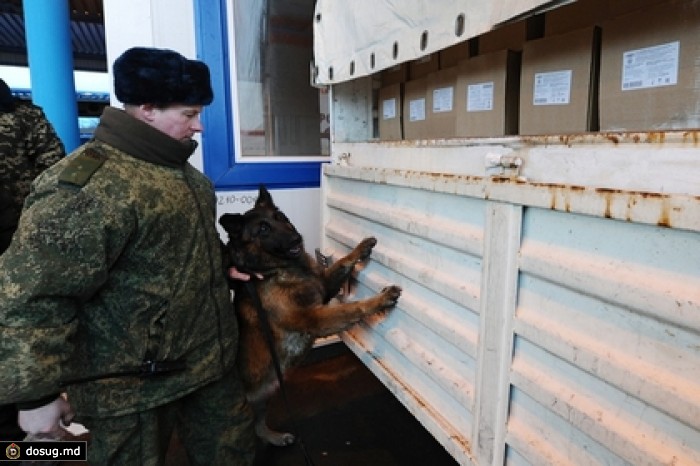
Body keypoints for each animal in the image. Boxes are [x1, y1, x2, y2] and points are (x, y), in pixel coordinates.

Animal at [221, 187, 402, 448]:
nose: (296, 238)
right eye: (263, 229)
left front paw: (360, 248)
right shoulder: (314, 318)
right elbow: (351, 309)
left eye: (281, 217)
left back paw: (274, 437)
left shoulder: (324, 287)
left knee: (258, 425)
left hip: (266, 393)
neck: (276, 270)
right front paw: (380, 299)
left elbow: (341, 262)